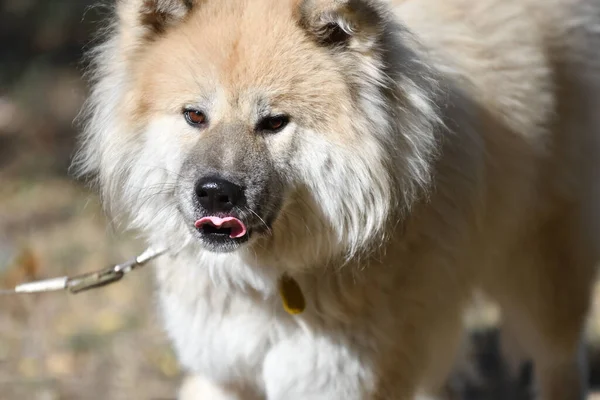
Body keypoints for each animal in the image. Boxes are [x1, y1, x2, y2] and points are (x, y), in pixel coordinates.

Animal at [75, 0, 600, 398]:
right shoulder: (224, 372)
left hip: (542, 278)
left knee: (559, 361)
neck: (270, 284)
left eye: (274, 122)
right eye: (194, 116)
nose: (215, 192)